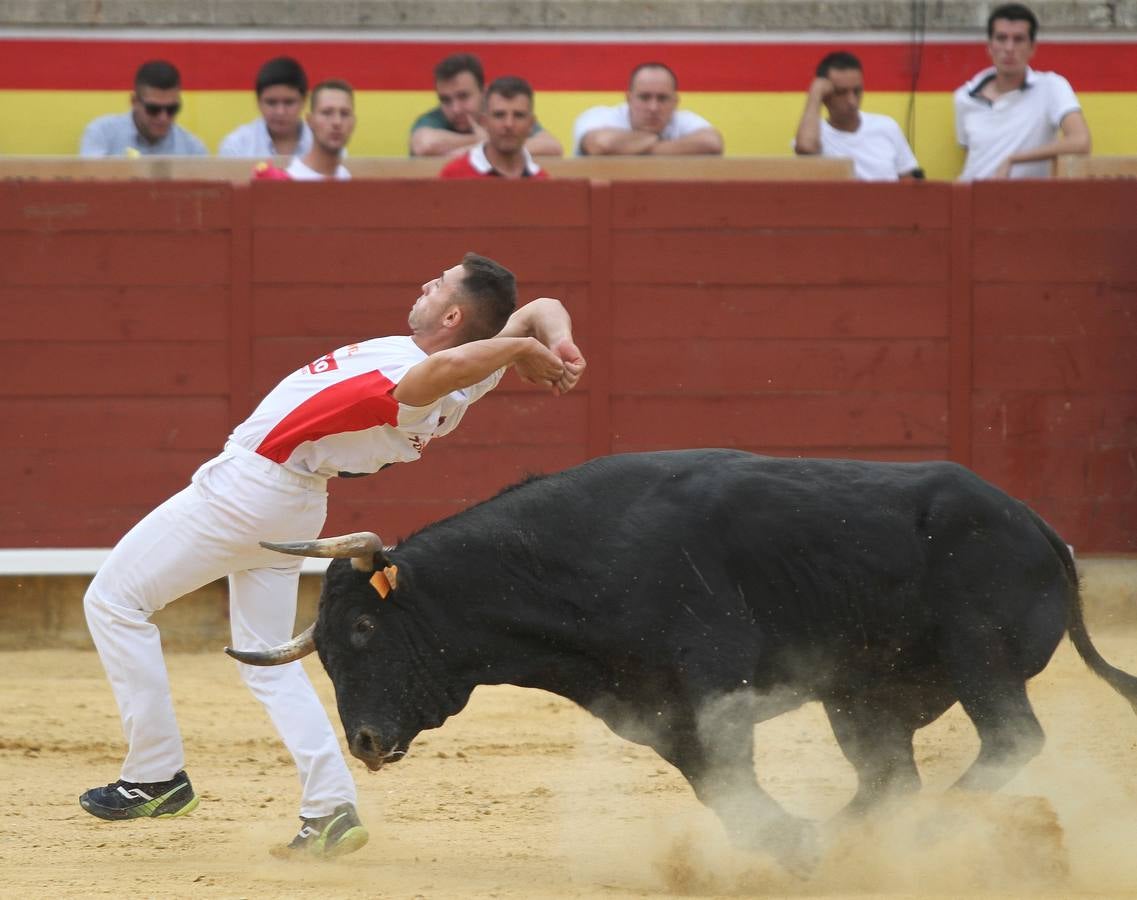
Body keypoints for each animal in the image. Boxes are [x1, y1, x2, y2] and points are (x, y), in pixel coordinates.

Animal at [226, 454, 1137, 868]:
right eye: (325, 647)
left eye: (364, 631)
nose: (366, 743)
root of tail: (1039, 528)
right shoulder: (657, 712)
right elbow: (715, 785)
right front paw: (791, 846)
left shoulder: (711, 690)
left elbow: (728, 775)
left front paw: (791, 847)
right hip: (864, 696)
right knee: (888, 776)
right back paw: (865, 842)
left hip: (979, 661)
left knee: (1009, 739)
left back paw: (928, 833)